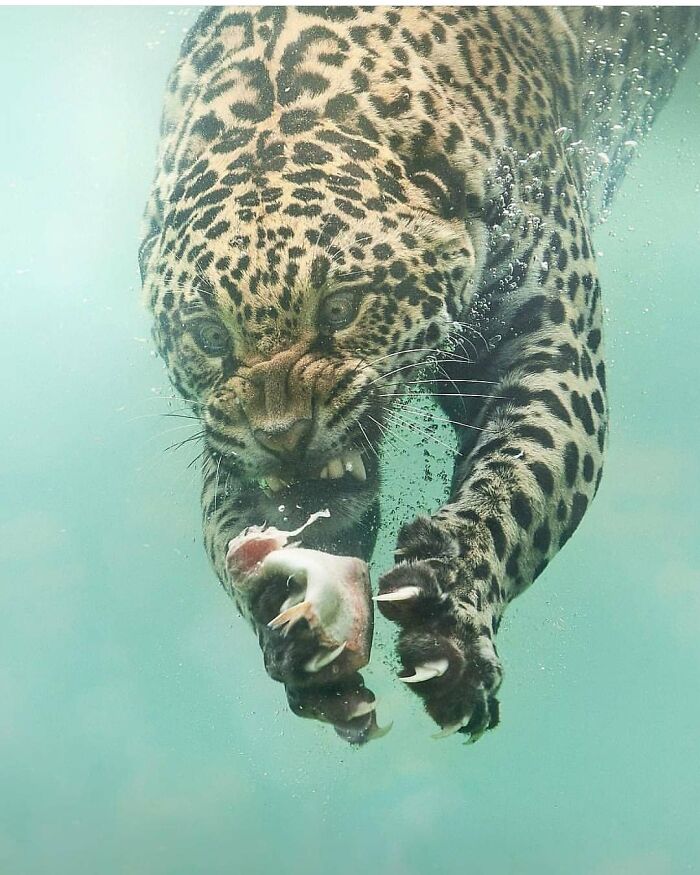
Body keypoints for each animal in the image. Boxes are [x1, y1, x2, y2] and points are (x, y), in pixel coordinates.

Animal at [140, 6, 699, 745]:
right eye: (209, 337)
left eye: (341, 308)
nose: (284, 435)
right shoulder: (223, 436)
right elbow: (230, 524)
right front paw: (292, 623)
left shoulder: (552, 347)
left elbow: (521, 482)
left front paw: (451, 609)